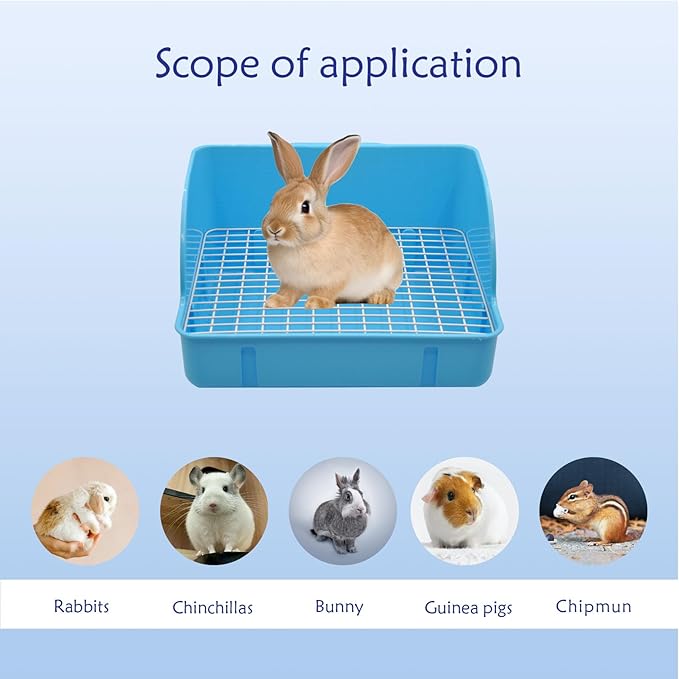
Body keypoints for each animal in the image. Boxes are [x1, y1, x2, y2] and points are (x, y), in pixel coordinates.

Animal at [261, 132, 404, 309]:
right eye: (273, 202)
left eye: (305, 206)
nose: (274, 228)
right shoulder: (291, 283)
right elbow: (288, 293)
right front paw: (275, 301)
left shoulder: (335, 280)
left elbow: (325, 291)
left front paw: (316, 302)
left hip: (390, 272)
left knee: (390, 290)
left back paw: (379, 298)